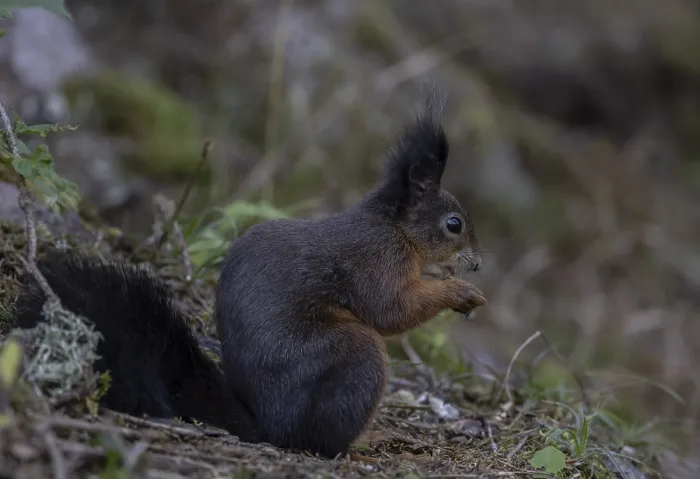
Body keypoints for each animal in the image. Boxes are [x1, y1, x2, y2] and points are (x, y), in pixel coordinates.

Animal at [12, 97, 487, 459]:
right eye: (454, 224)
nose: (478, 263)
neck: (393, 227)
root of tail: (266, 425)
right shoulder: (375, 259)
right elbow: (391, 309)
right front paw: (461, 292)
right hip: (356, 356)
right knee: (319, 440)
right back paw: (365, 440)